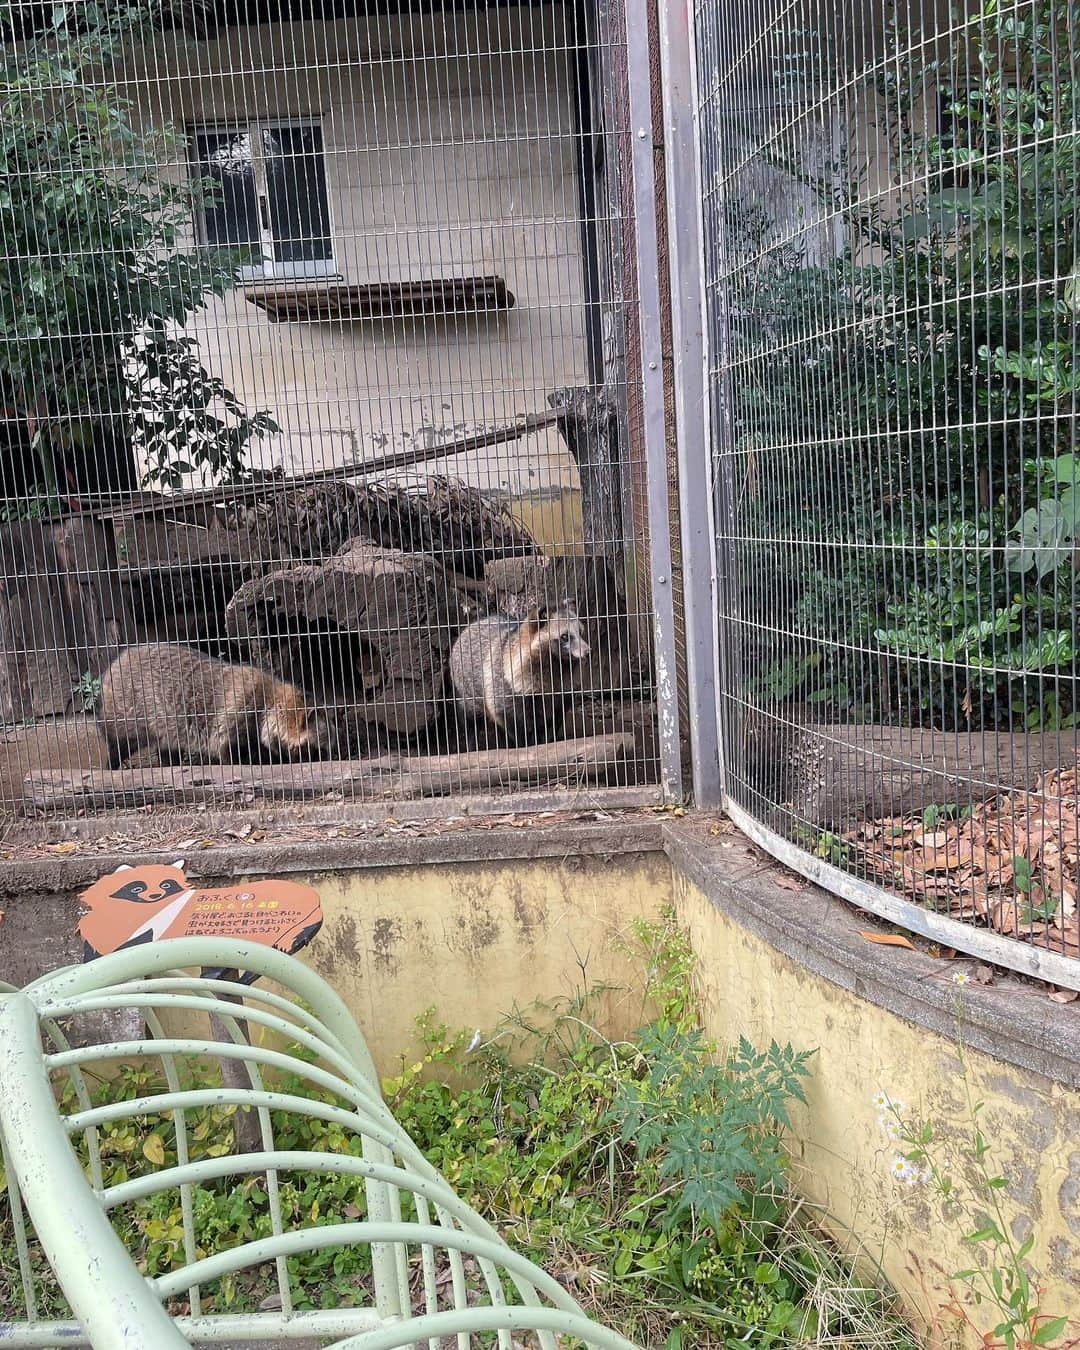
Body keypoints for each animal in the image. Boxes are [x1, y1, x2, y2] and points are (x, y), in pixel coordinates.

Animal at [99, 645, 326, 772]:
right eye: (316, 749)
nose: (324, 760)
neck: (271, 700)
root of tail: (115, 664)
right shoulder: (238, 710)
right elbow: (227, 748)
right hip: (127, 709)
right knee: (120, 741)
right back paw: (112, 762)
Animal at [448, 604, 591, 750]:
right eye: (564, 636)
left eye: (581, 633)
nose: (587, 652)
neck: (558, 664)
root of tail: (470, 627)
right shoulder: (506, 688)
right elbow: (514, 723)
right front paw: (525, 745)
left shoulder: (562, 693)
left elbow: (553, 721)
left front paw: (547, 741)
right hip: (466, 686)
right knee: (471, 718)